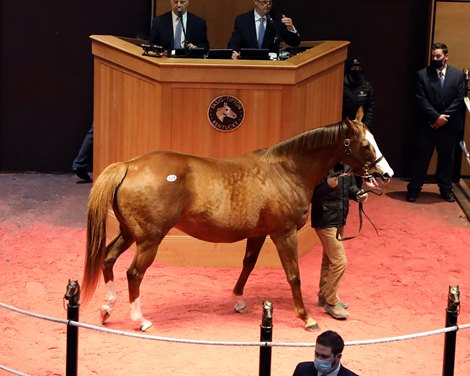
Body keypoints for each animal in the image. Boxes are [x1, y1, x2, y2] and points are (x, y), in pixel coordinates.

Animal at [80, 112, 392, 332]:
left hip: (128, 232)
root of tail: (129, 165)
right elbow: (294, 275)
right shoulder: (284, 234)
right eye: (366, 144)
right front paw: (306, 318)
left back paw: (107, 309)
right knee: (134, 273)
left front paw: (238, 300)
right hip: (149, 240)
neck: (286, 170)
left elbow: (248, 265)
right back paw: (140, 319)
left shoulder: (259, 233)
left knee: (108, 258)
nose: (386, 173)